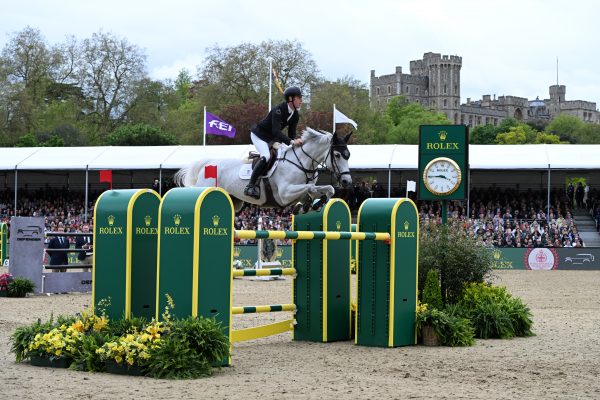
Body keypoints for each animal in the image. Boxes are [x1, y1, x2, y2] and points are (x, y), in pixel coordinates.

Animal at [173, 129, 352, 214]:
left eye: (348, 155)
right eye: (337, 155)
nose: (347, 182)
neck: (302, 163)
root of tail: (207, 164)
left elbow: (328, 188)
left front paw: (312, 204)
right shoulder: (285, 194)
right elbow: (310, 188)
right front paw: (309, 203)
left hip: (235, 203)